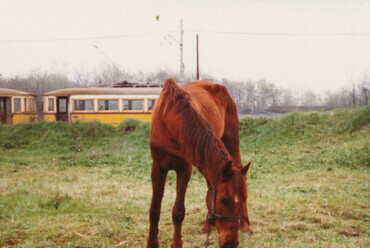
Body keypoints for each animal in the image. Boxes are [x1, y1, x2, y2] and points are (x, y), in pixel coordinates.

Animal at [147, 78, 251, 247]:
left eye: (242, 199)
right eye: (223, 200)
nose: (231, 243)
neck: (169, 121)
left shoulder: (184, 168)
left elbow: (178, 211)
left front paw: (177, 243)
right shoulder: (158, 168)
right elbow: (154, 210)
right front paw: (152, 243)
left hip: (232, 141)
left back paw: (245, 225)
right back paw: (208, 224)